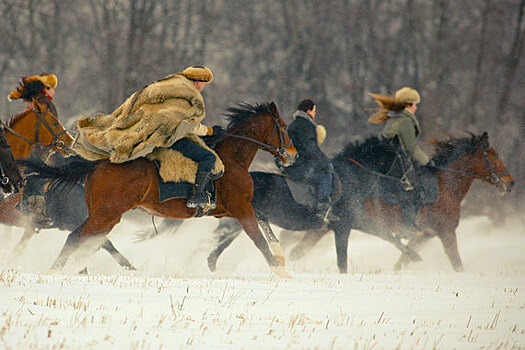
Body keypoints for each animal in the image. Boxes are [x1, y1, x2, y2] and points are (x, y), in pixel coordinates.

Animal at [27, 102, 294, 278]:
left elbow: (264, 222)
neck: (231, 159)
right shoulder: (241, 208)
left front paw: (281, 258)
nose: (292, 155)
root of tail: (99, 163)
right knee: (75, 238)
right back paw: (54, 270)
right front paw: (280, 270)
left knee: (89, 241)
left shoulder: (235, 209)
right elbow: (258, 239)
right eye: (283, 126)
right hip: (106, 215)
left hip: (105, 217)